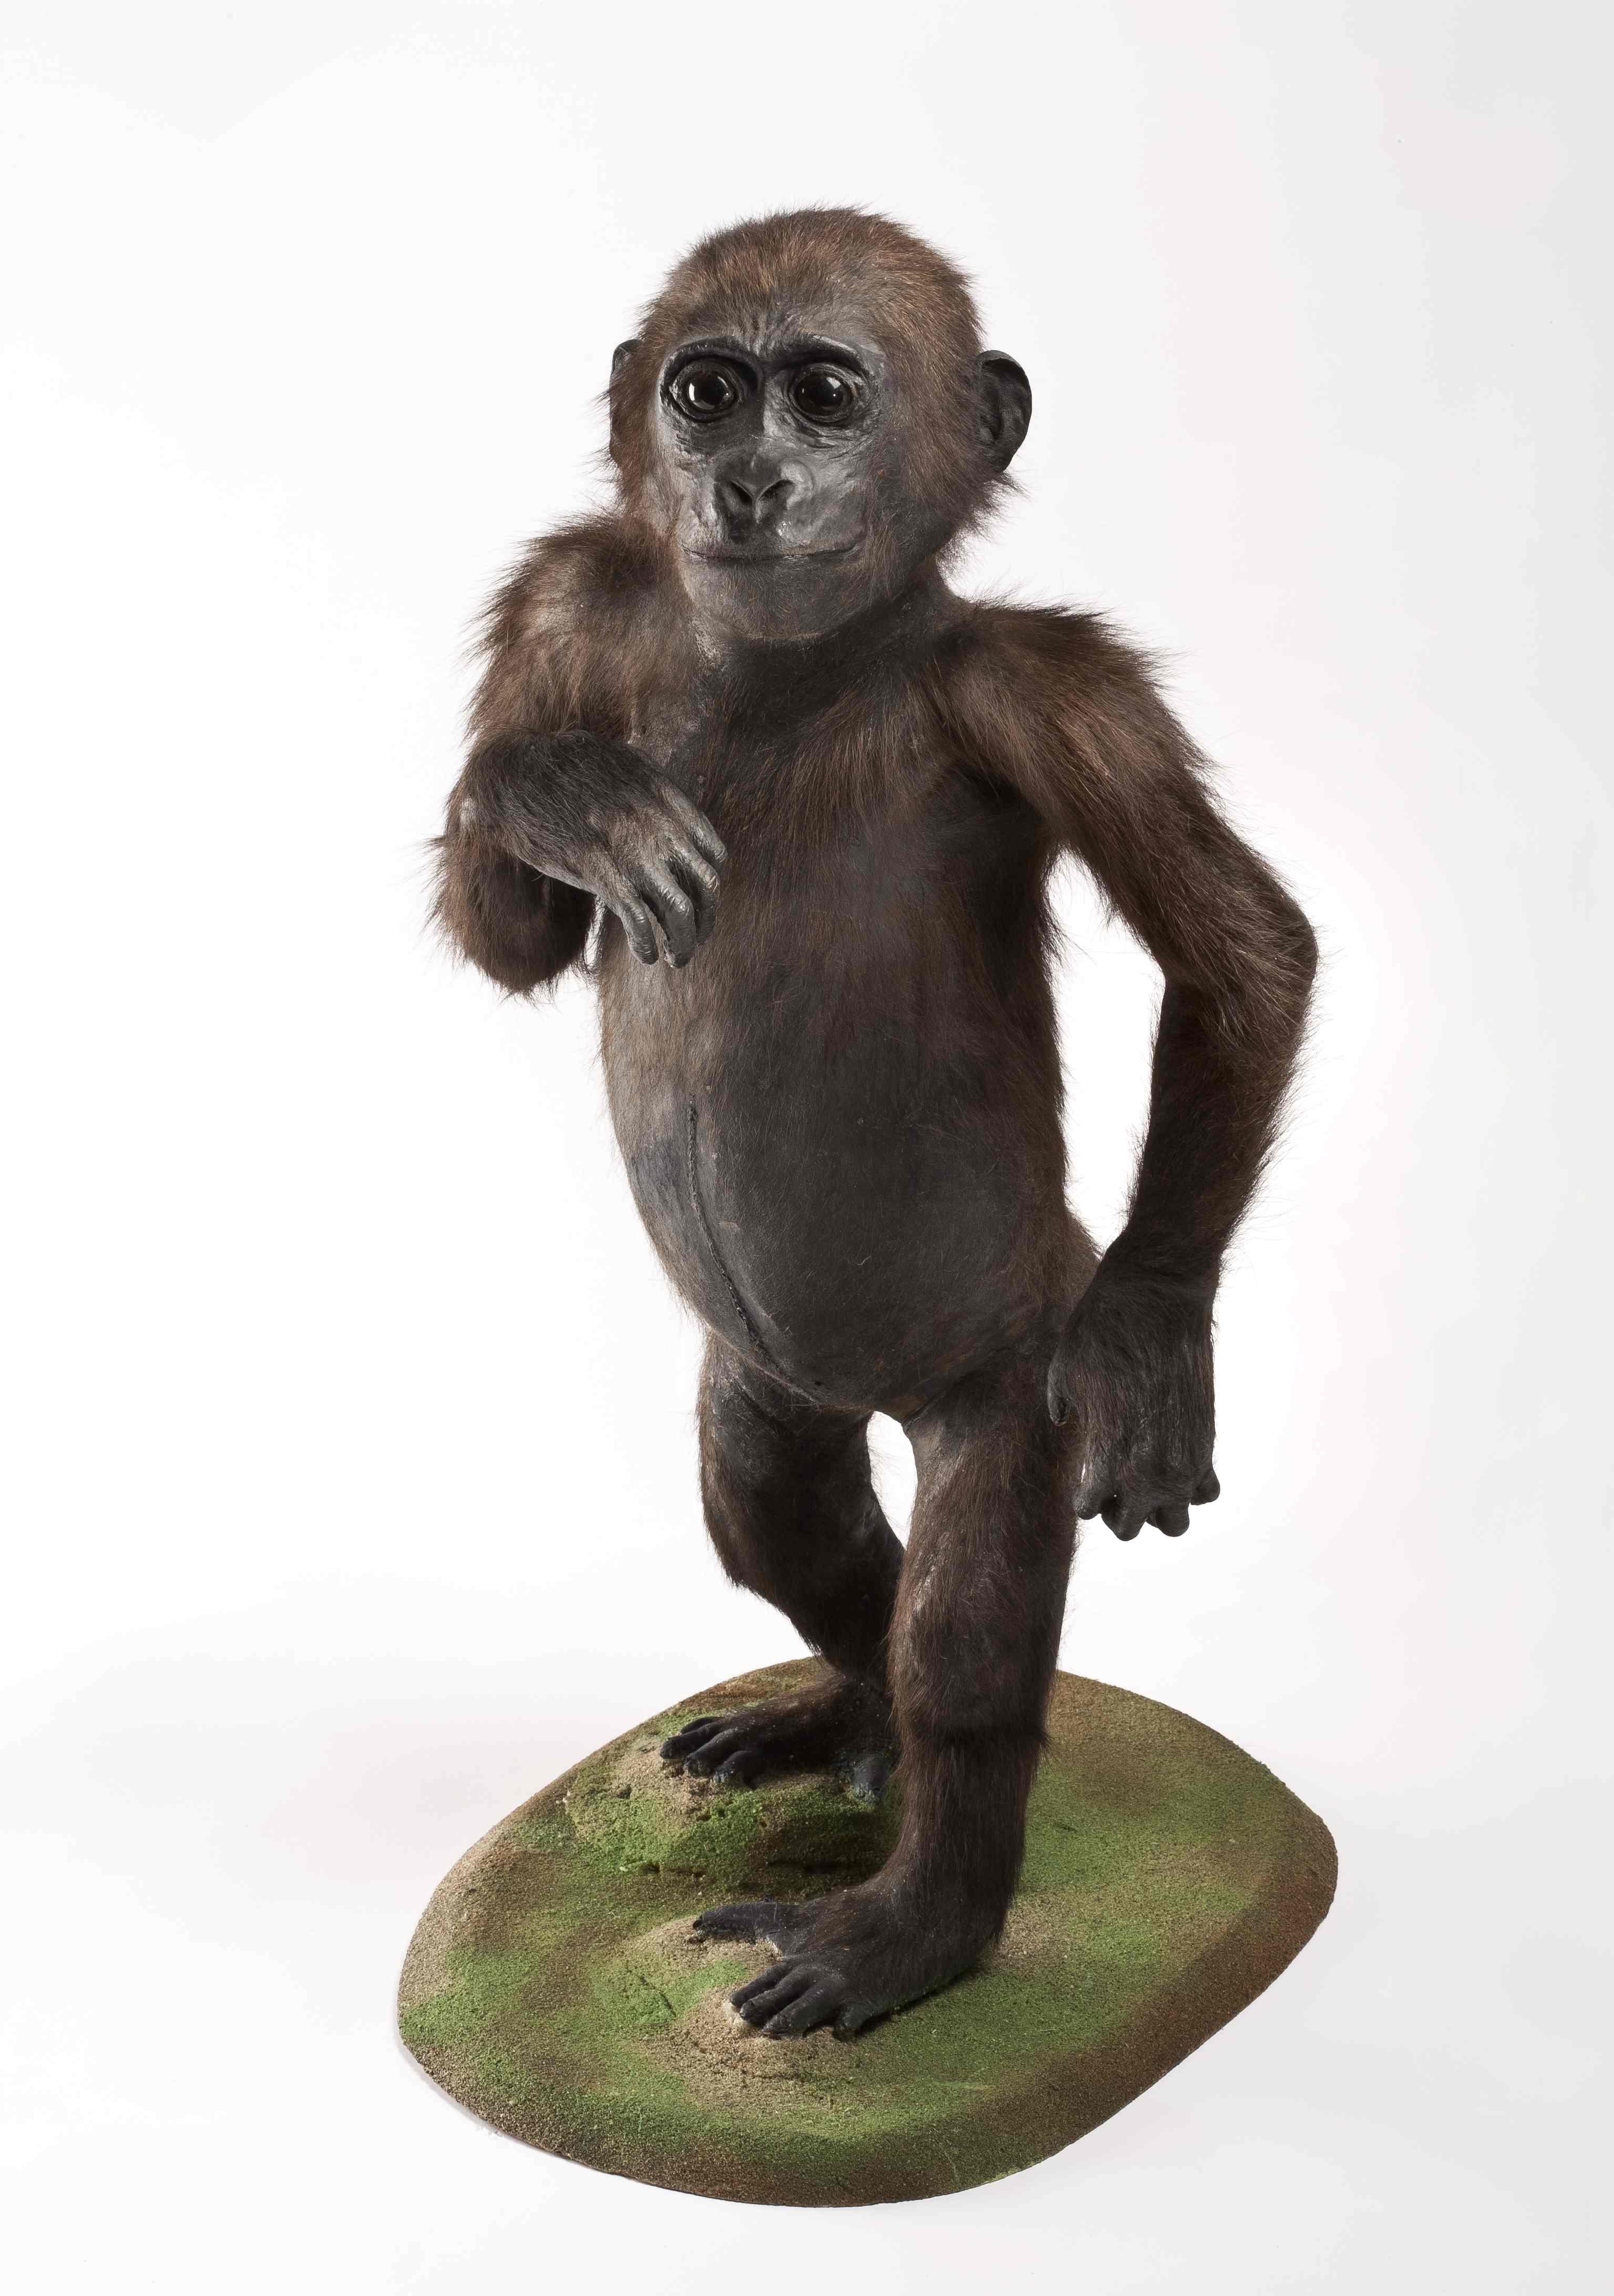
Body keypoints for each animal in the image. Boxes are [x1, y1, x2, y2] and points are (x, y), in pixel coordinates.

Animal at [433, 209, 1317, 2040]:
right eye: (707, 390)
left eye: (827, 395)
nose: (748, 477)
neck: (790, 663)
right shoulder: (564, 601)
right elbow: (515, 938)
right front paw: (550, 793)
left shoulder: (1050, 697)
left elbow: (1239, 957)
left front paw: (1154, 1330)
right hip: (773, 1381)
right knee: (784, 1518)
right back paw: (842, 1719)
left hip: (999, 1371)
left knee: (963, 1632)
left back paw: (918, 1919)